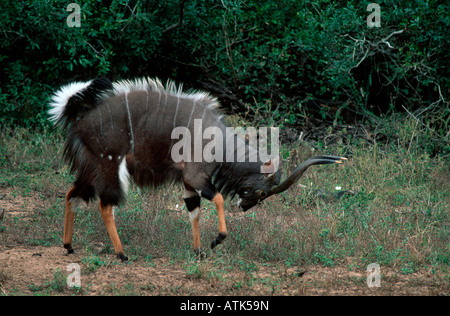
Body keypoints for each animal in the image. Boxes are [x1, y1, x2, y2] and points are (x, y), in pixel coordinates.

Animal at [48, 77, 344, 262]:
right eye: (262, 193)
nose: (245, 207)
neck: (221, 142)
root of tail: (79, 117)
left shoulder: (189, 184)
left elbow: (194, 211)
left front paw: (199, 251)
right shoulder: (195, 176)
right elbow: (218, 198)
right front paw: (216, 241)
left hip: (90, 168)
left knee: (71, 194)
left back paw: (68, 246)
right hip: (110, 166)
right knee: (105, 204)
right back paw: (122, 254)